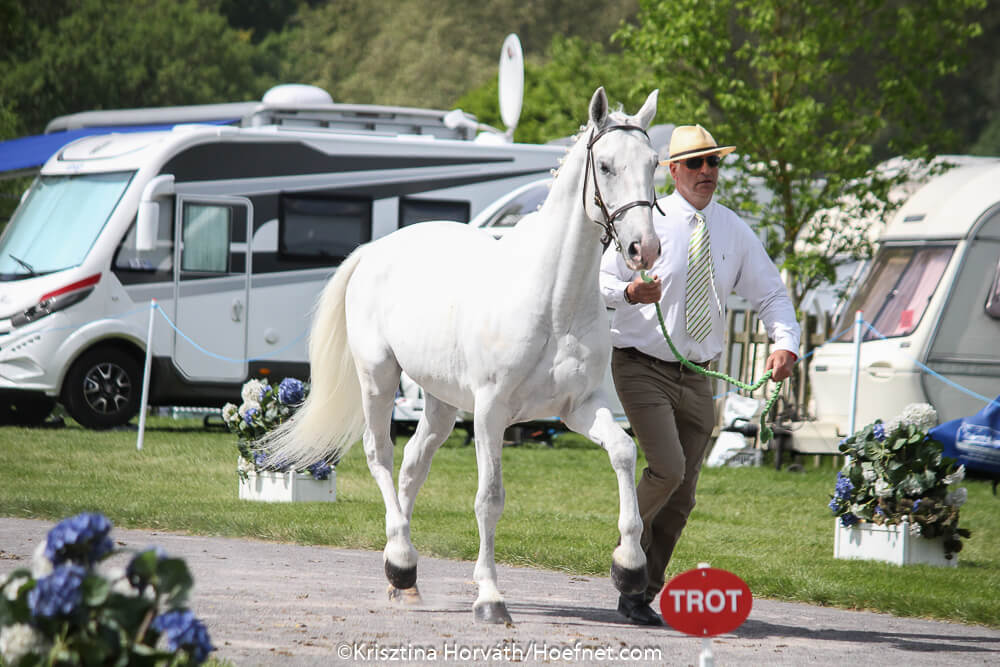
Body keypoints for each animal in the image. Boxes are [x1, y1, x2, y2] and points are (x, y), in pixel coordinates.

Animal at [263, 87, 661, 623]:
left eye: (655, 163)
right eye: (605, 165)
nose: (644, 249)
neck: (554, 300)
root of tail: (375, 250)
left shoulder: (579, 407)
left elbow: (623, 451)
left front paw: (629, 567)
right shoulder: (492, 413)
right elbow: (489, 499)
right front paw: (490, 598)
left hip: (440, 403)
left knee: (413, 465)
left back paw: (403, 577)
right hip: (378, 379)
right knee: (380, 454)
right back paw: (401, 559)